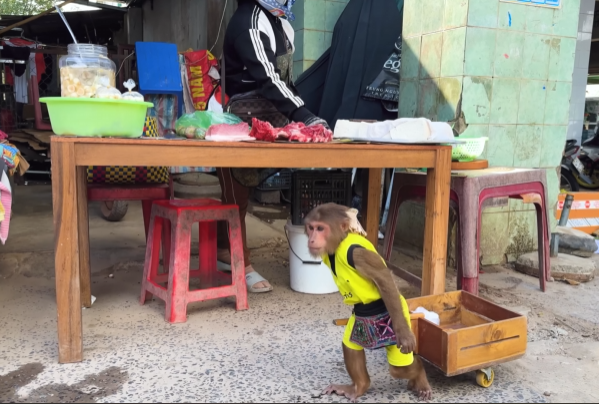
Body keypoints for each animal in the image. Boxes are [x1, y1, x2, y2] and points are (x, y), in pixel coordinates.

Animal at [304, 203, 432, 402]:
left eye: (320, 228)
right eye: (311, 228)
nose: (311, 239)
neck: (340, 242)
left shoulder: (357, 254)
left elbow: (384, 278)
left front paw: (405, 337)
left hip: (397, 319)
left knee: (399, 369)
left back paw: (419, 373)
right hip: (360, 323)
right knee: (350, 344)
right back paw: (360, 386)